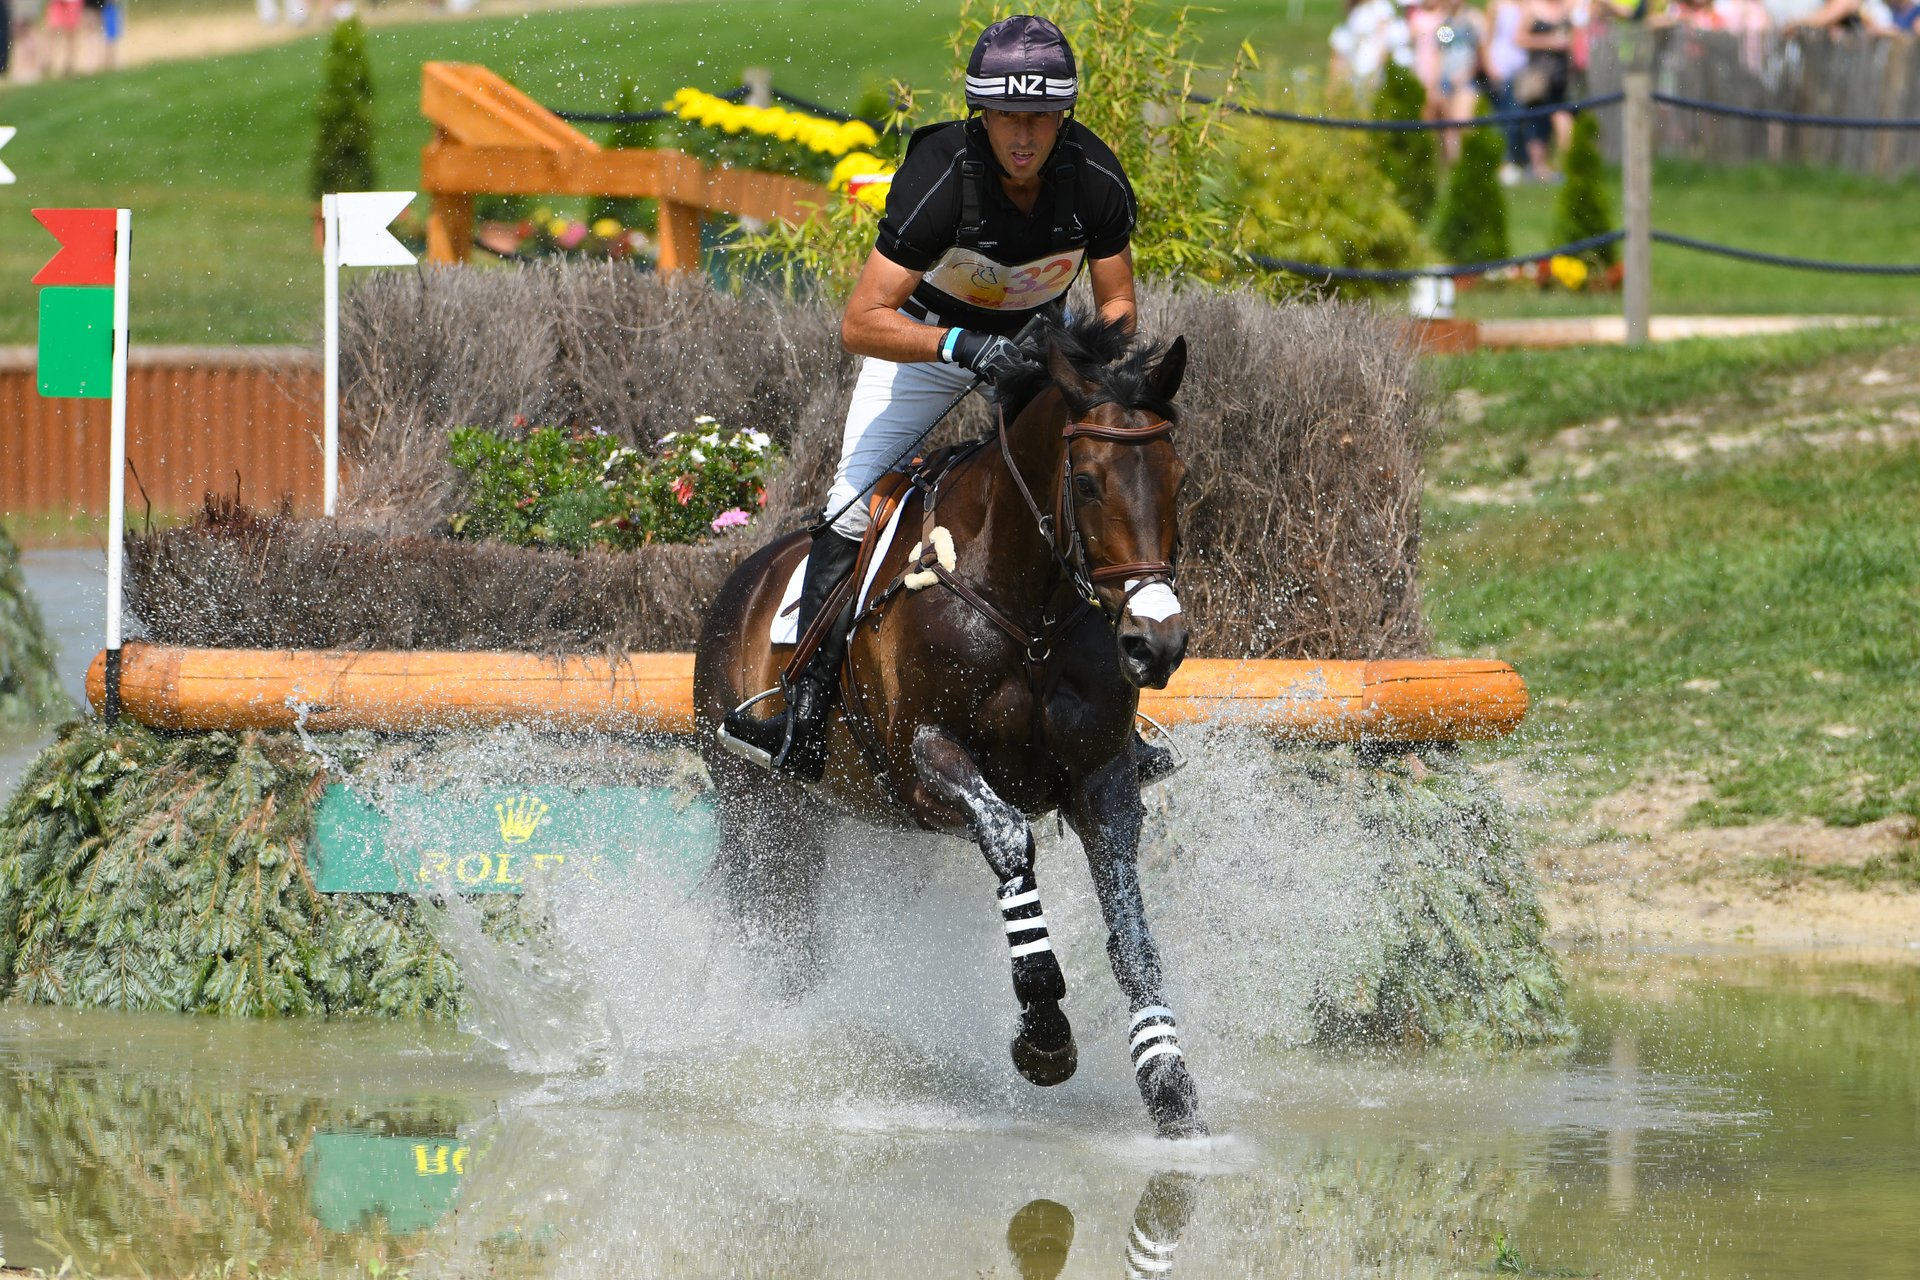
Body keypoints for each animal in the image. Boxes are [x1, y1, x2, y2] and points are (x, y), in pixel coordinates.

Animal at [691, 315, 1202, 1138]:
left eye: (1178, 479)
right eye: (1087, 483)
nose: (1155, 644)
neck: (1027, 609)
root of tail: (739, 582)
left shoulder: (1104, 778)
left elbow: (1130, 930)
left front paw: (1169, 1083)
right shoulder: (926, 763)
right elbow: (1010, 839)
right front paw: (1044, 1034)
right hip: (758, 811)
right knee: (777, 928)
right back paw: (786, 1048)